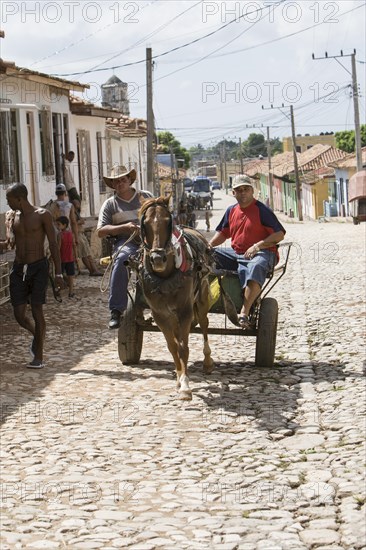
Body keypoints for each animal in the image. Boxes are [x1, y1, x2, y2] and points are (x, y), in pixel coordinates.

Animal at [137, 197, 213, 402]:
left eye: (167, 221)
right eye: (145, 224)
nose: (158, 258)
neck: (165, 276)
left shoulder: (185, 311)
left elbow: (183, 347)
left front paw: (186, 386)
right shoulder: (160, 314)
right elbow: (172, 346)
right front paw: (179, 378)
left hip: (201, 299)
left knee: (204, 324)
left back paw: (208, 361)